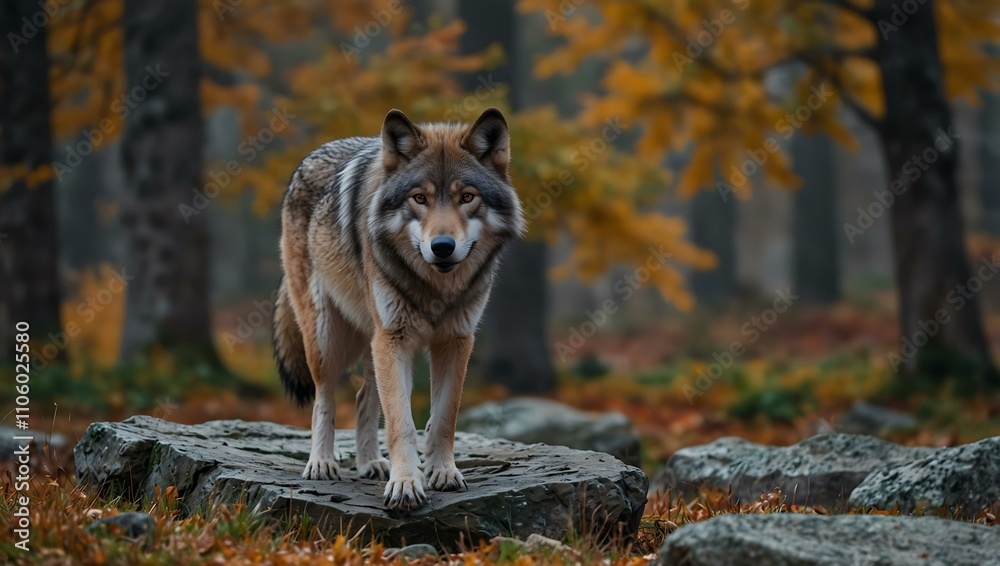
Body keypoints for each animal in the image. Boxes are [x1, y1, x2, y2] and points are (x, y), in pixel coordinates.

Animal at [272, 108, 524, 512]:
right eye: (419, 198)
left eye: (467, 197)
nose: (442, 246)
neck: (435, 289)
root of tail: (311, 156)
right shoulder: (394, 339)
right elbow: (400, 422)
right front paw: (405, 484)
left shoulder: (455, 341)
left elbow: (444, 417)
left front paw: (442, 472)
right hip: (328, 338)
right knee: (324, 398)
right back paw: (322, 463)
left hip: (372, 343)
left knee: (363, 397)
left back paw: (371, 463)